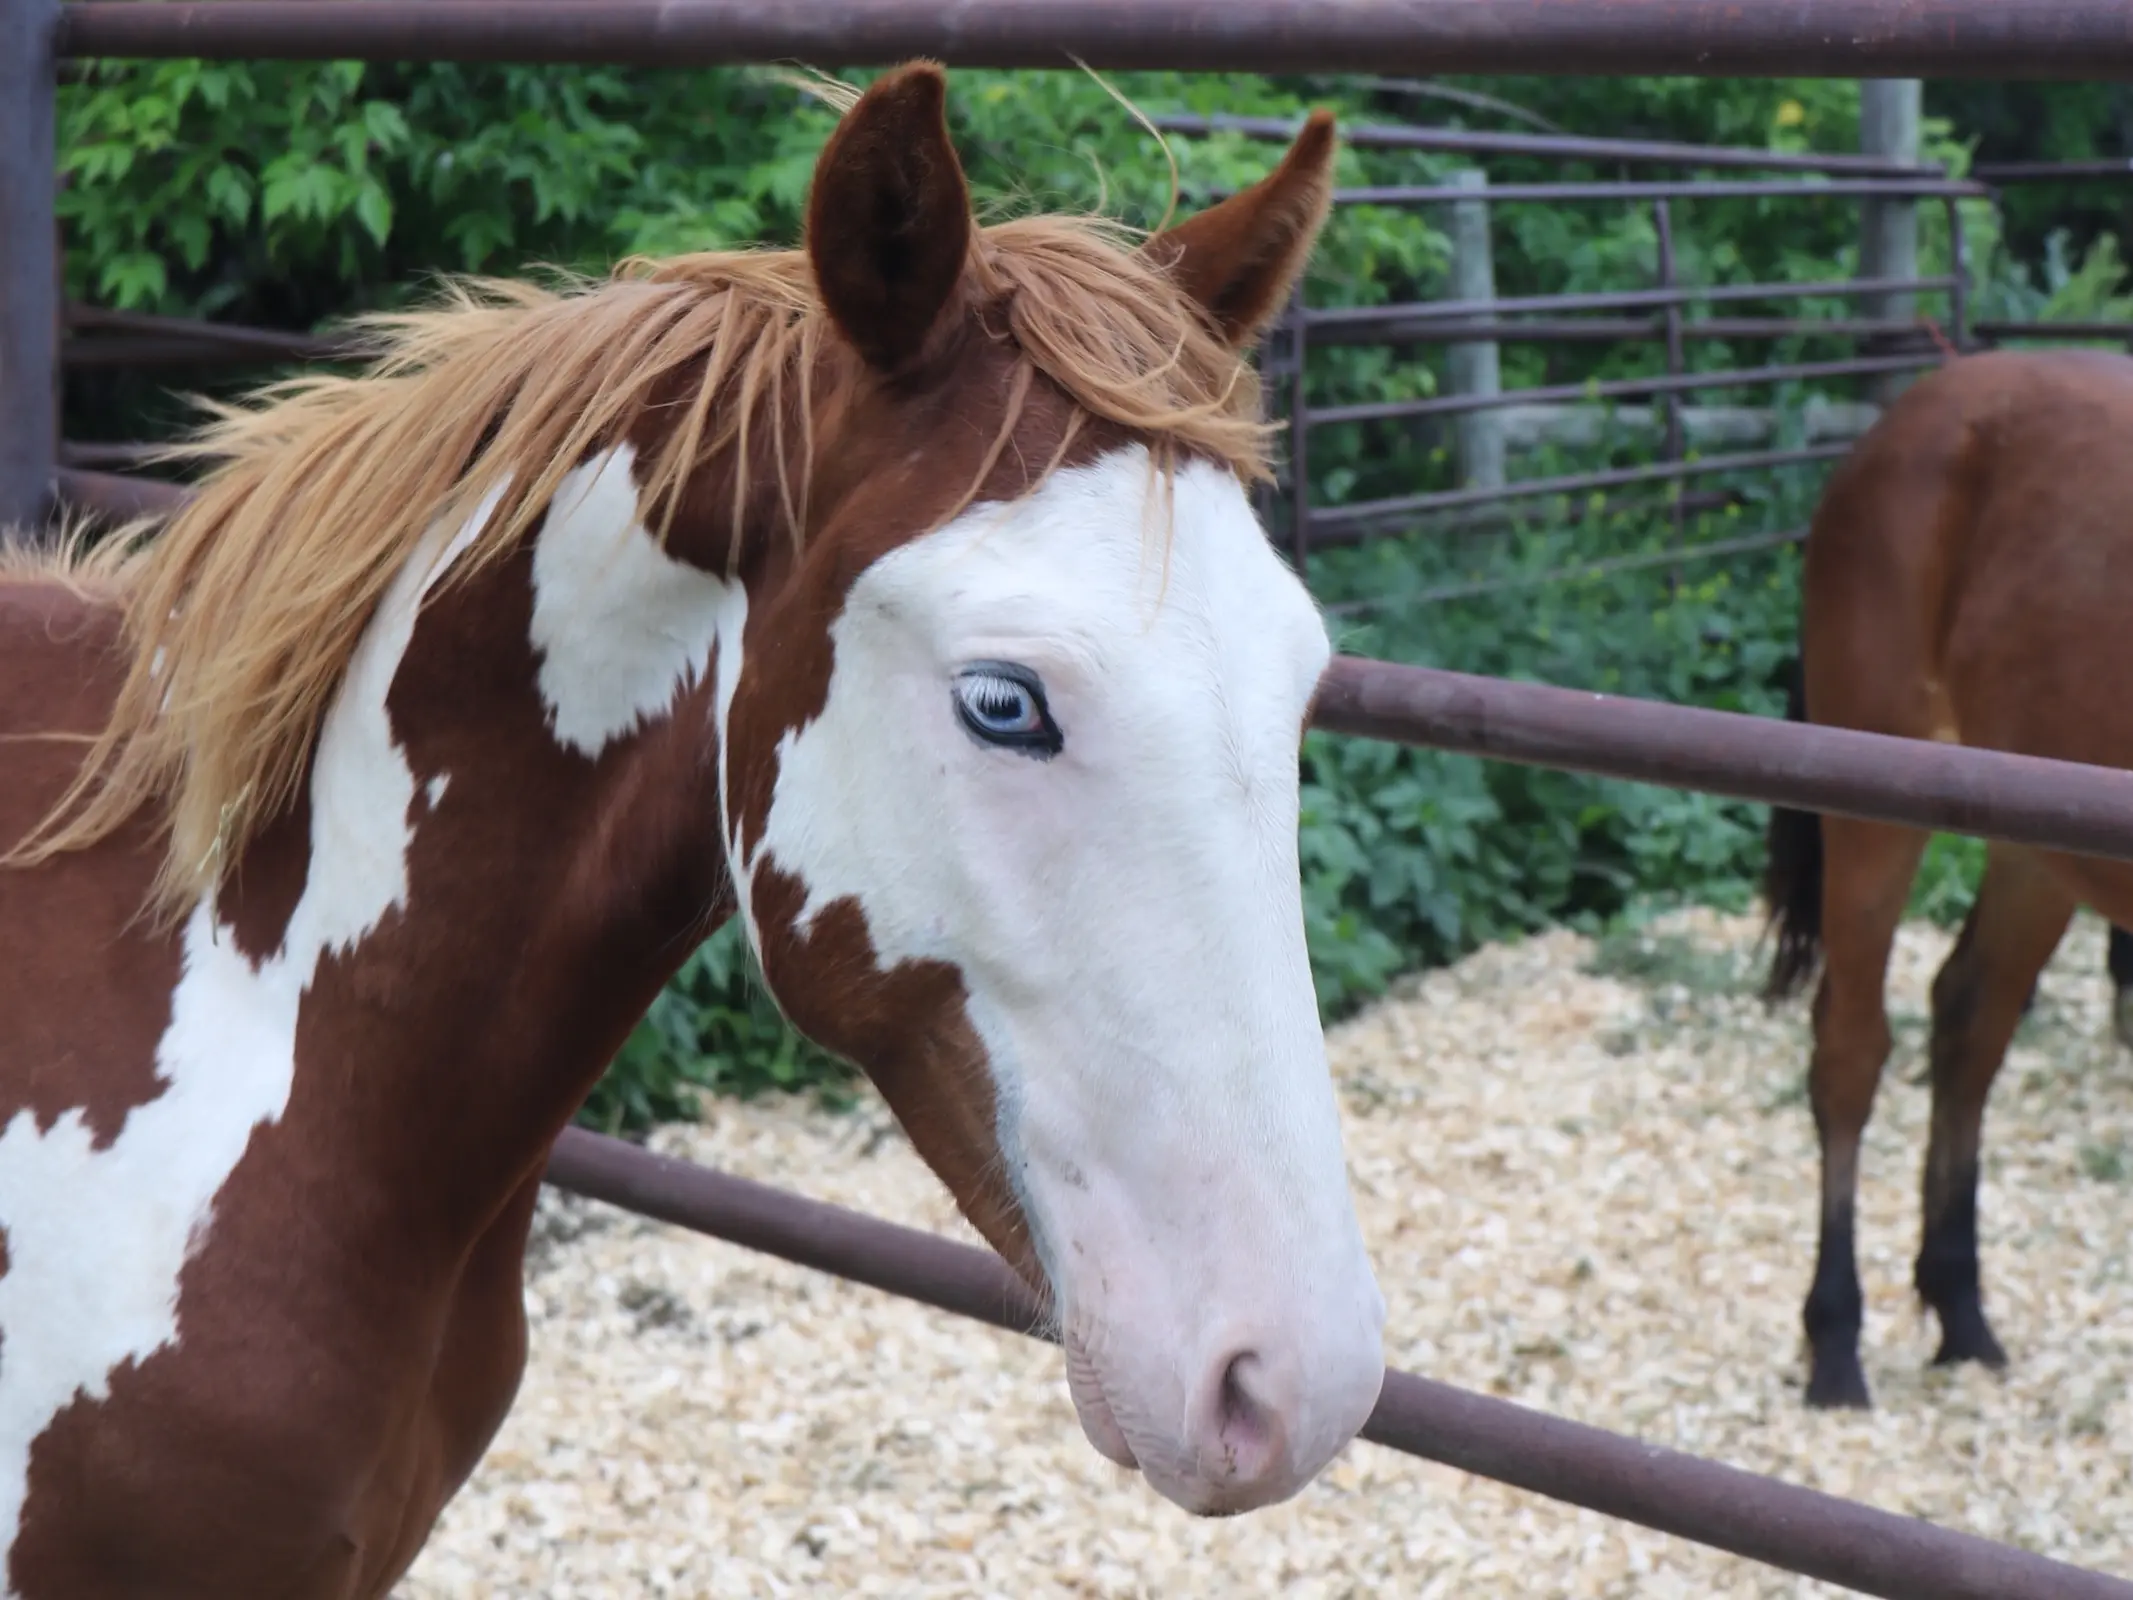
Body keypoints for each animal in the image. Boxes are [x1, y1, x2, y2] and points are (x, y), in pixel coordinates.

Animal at [1757, 345, 2133, 1408]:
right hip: (1873, 805)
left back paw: (1959, 1306)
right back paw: (1835, 1340)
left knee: (1968, 1019)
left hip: (2035, 843)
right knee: (1850, 1051)